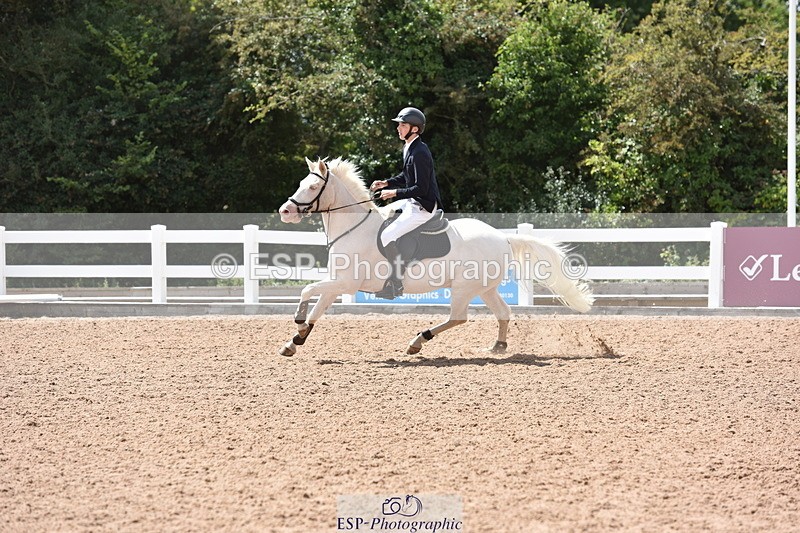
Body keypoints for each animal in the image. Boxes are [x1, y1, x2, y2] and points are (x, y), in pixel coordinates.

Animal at [277, 157, 594, 356]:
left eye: (313, 187)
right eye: (302, 183)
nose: (285, 210)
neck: (353, 228)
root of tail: (503, 237)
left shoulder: (346, 284)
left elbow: (307, 291)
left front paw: (298, 323)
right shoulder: (338, 284)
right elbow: (317, 309)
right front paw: (295, 341)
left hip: (464, 288)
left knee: (458, 318)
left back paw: (418, 341)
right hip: (485, 288)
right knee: (503, 313)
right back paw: (497, 348)